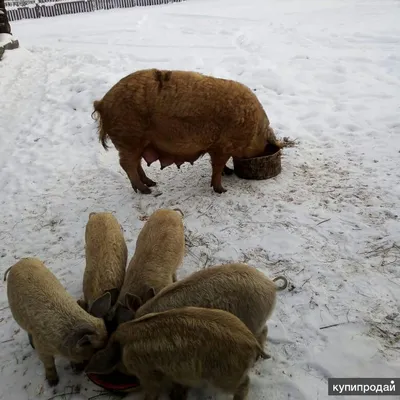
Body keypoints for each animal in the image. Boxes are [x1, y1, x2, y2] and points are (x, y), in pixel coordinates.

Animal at [3, 258, 109, 386]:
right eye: (94, 351)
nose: (80, 371)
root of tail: (19, 262)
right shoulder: (42, 346)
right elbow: (48, 363)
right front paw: (53, 383)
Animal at [85, 304, 268, 398]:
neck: (124, 348)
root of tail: (252, 341)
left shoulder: (148, 373)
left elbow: (152, 390)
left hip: (226, 376)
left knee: (244, 384)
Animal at [92, 67, 286, 195]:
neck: (254, 131)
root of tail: (103, 103)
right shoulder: (222, 146)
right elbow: (217, 166)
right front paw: (222, 190)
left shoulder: (216, 146)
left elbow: (219, 165)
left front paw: (229, 173)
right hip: (129, 138)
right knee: (127, 164)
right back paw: (146, 190)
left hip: (136, 142)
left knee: (136, 163)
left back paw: (151, 183)